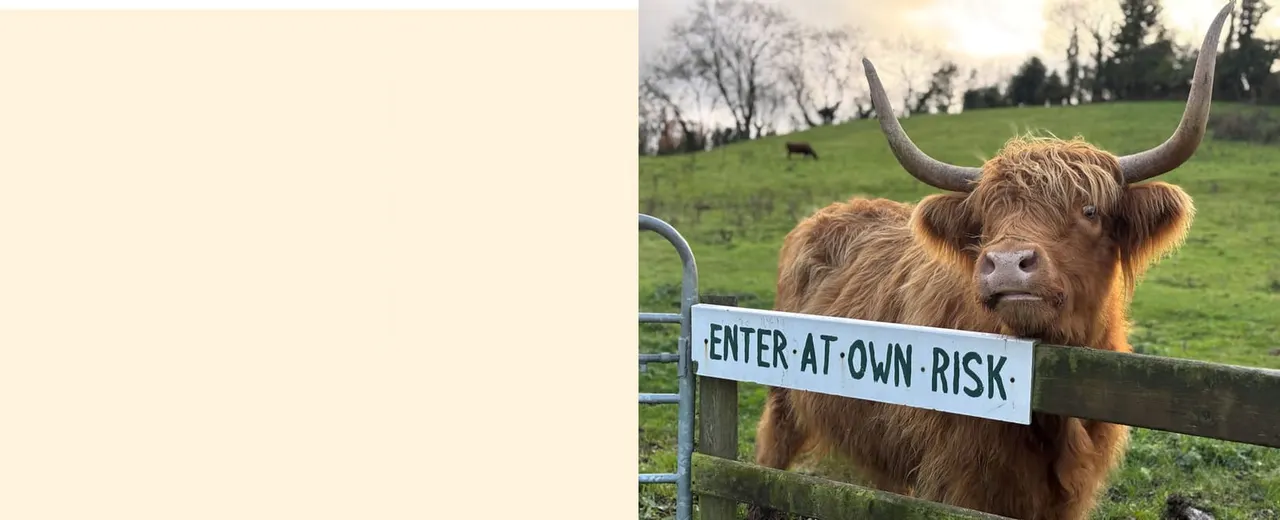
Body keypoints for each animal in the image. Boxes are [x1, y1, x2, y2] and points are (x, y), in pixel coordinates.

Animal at [746, 3, 1232, 520]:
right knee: (769, 457)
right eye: (986, 221)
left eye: (1090, 211)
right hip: (783, 400)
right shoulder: (962, 483)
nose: (1006, 262)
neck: (1049, 393)